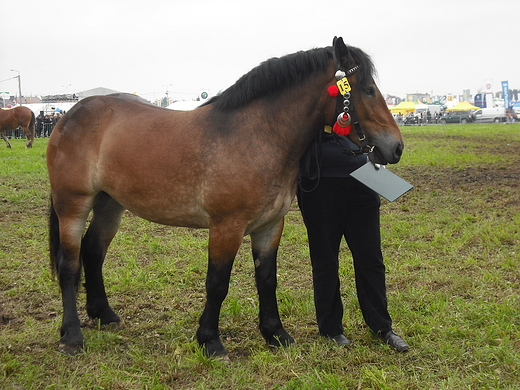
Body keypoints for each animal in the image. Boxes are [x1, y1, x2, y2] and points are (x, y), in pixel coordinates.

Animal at [46, 37, 404, 360]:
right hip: (73, 205)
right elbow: (217, 283)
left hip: (110, 204)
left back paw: (104, 315)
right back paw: (71, 336)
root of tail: (70, 115)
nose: (396, 146)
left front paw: (275, 334)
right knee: (69, 265)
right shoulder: (226, 228)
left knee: (93, 252)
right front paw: (211, 342)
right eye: (367, 89)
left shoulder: (270, 226)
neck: (255, 135)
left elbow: (267, 279)